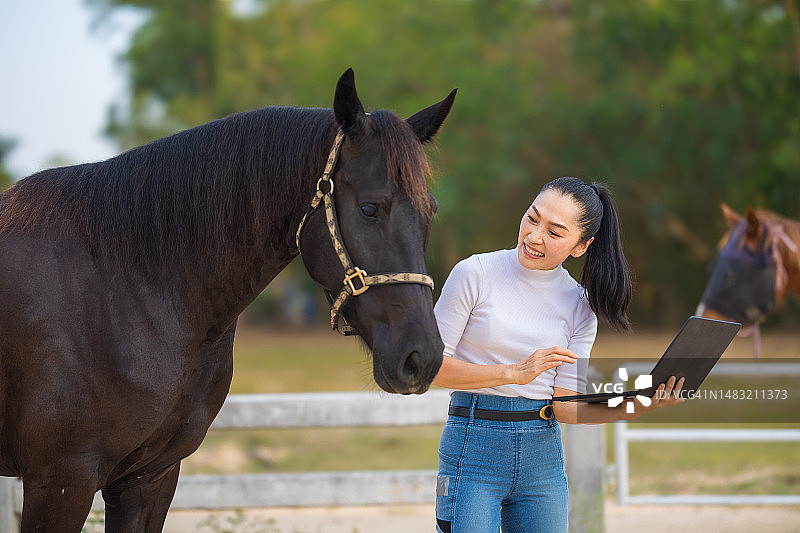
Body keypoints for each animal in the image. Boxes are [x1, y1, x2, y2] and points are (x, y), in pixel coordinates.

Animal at [0, 69, 455, 532]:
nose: (422, 358)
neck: (124, 285)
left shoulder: (147, 480)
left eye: (431, 211)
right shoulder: (62, 482)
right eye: (369, 208)